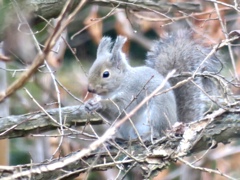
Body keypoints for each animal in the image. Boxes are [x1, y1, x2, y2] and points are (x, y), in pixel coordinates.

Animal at [84, 29, 221, 142]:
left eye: (105, 74)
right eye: (90, 69)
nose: (90, 89)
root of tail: (173, 124)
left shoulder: (132, 91)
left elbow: (121, 108)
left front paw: (99, 104)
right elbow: (113, 116)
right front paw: (88, 105)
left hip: (158, 113)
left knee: (158, 131)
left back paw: (148, 135)